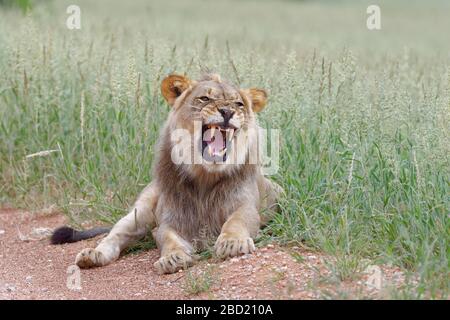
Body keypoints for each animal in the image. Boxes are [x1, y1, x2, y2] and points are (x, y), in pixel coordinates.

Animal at [51, 73, 282, 276]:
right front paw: (173, 258)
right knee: (115, 235)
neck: (205, 176)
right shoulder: (170, 218)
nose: (227, 111)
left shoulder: (245, 206)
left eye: (238, 104)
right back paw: (93, 255)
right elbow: (168, 238)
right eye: (205, 98)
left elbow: (236, 221)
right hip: (140, 212)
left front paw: (232, 242)